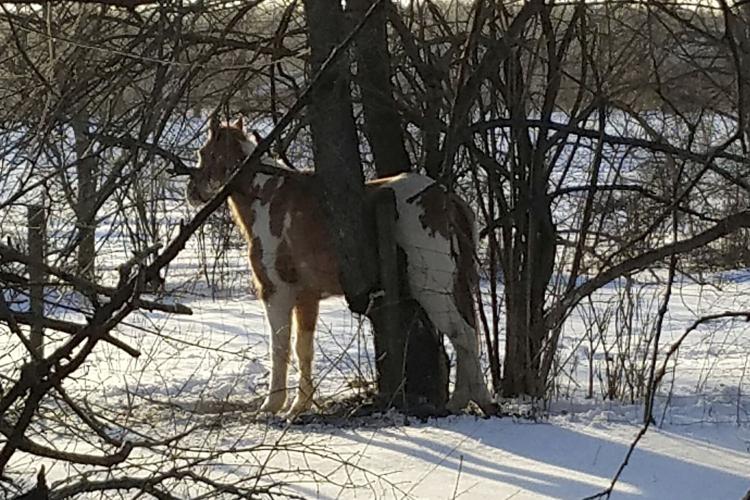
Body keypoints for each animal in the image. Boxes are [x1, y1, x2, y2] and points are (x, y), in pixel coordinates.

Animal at [186, 118, 492, 417]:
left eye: (205, 153)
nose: (192, 192)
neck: (269, 200)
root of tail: (444, 197)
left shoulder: (276, 292)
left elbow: (280, 347)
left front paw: (273, 404)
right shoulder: (307, 297)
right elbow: (303, 349)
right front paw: (300, 405)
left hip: (432, 287)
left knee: (462, 335)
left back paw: (471, 400)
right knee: (468, 333)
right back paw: (466, 400)